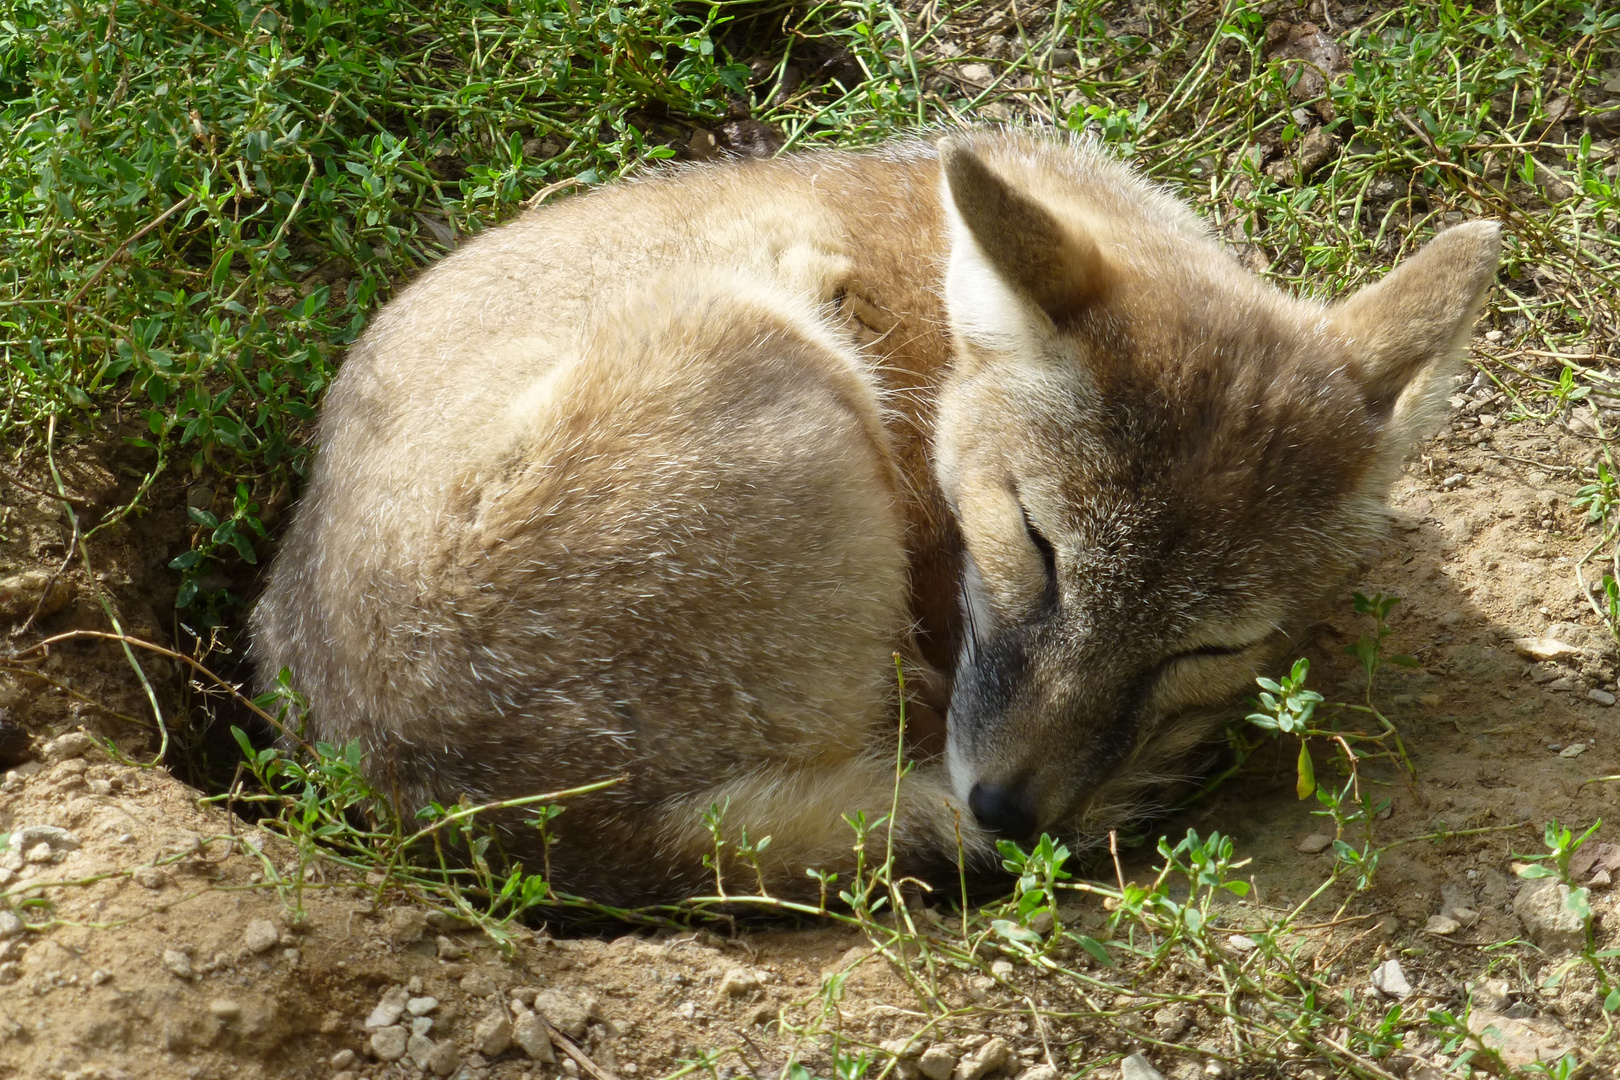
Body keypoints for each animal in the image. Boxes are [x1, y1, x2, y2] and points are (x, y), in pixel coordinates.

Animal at [252, 128, 1503, 906]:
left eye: (1206, 647)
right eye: (1037, 549)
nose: (1012, 813)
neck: (936, 331)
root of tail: (480, 822)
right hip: (770, 342)